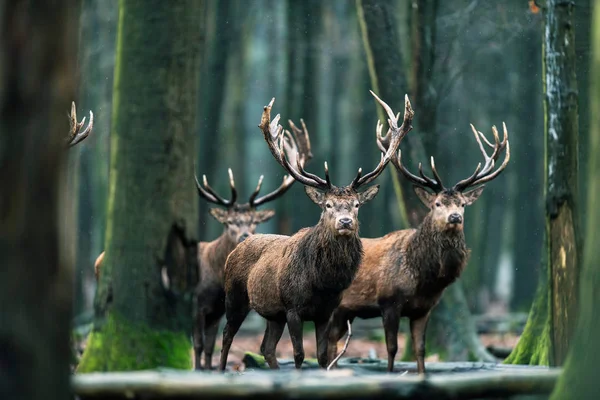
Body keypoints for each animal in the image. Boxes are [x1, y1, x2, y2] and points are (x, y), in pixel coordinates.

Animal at [193, 120, 314, 370]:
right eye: (229, 222)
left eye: (254, 221)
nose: (244, 235)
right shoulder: (196, 305)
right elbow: (199, 345)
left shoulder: (215, 310)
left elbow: (208, 346)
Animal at [218, 93, 414, 372]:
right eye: (327, 205)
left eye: (356, 204)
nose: (345, 222)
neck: (323, 283)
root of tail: (238, 246)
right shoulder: (293, 307)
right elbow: (299, 354)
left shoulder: (326, 311)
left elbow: (323, 355)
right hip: (235, 296)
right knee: (227, 335)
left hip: (273, 313)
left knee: (266, 347)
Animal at [326, 119, 508, 376]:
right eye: (437, 203)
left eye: (463, 204)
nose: (455, 217)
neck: (424, 279)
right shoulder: (389, 302)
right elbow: (391, 348)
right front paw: (390, 373)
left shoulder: (424, 309)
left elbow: (421, 349)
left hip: (345, 311)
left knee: (331, 340)